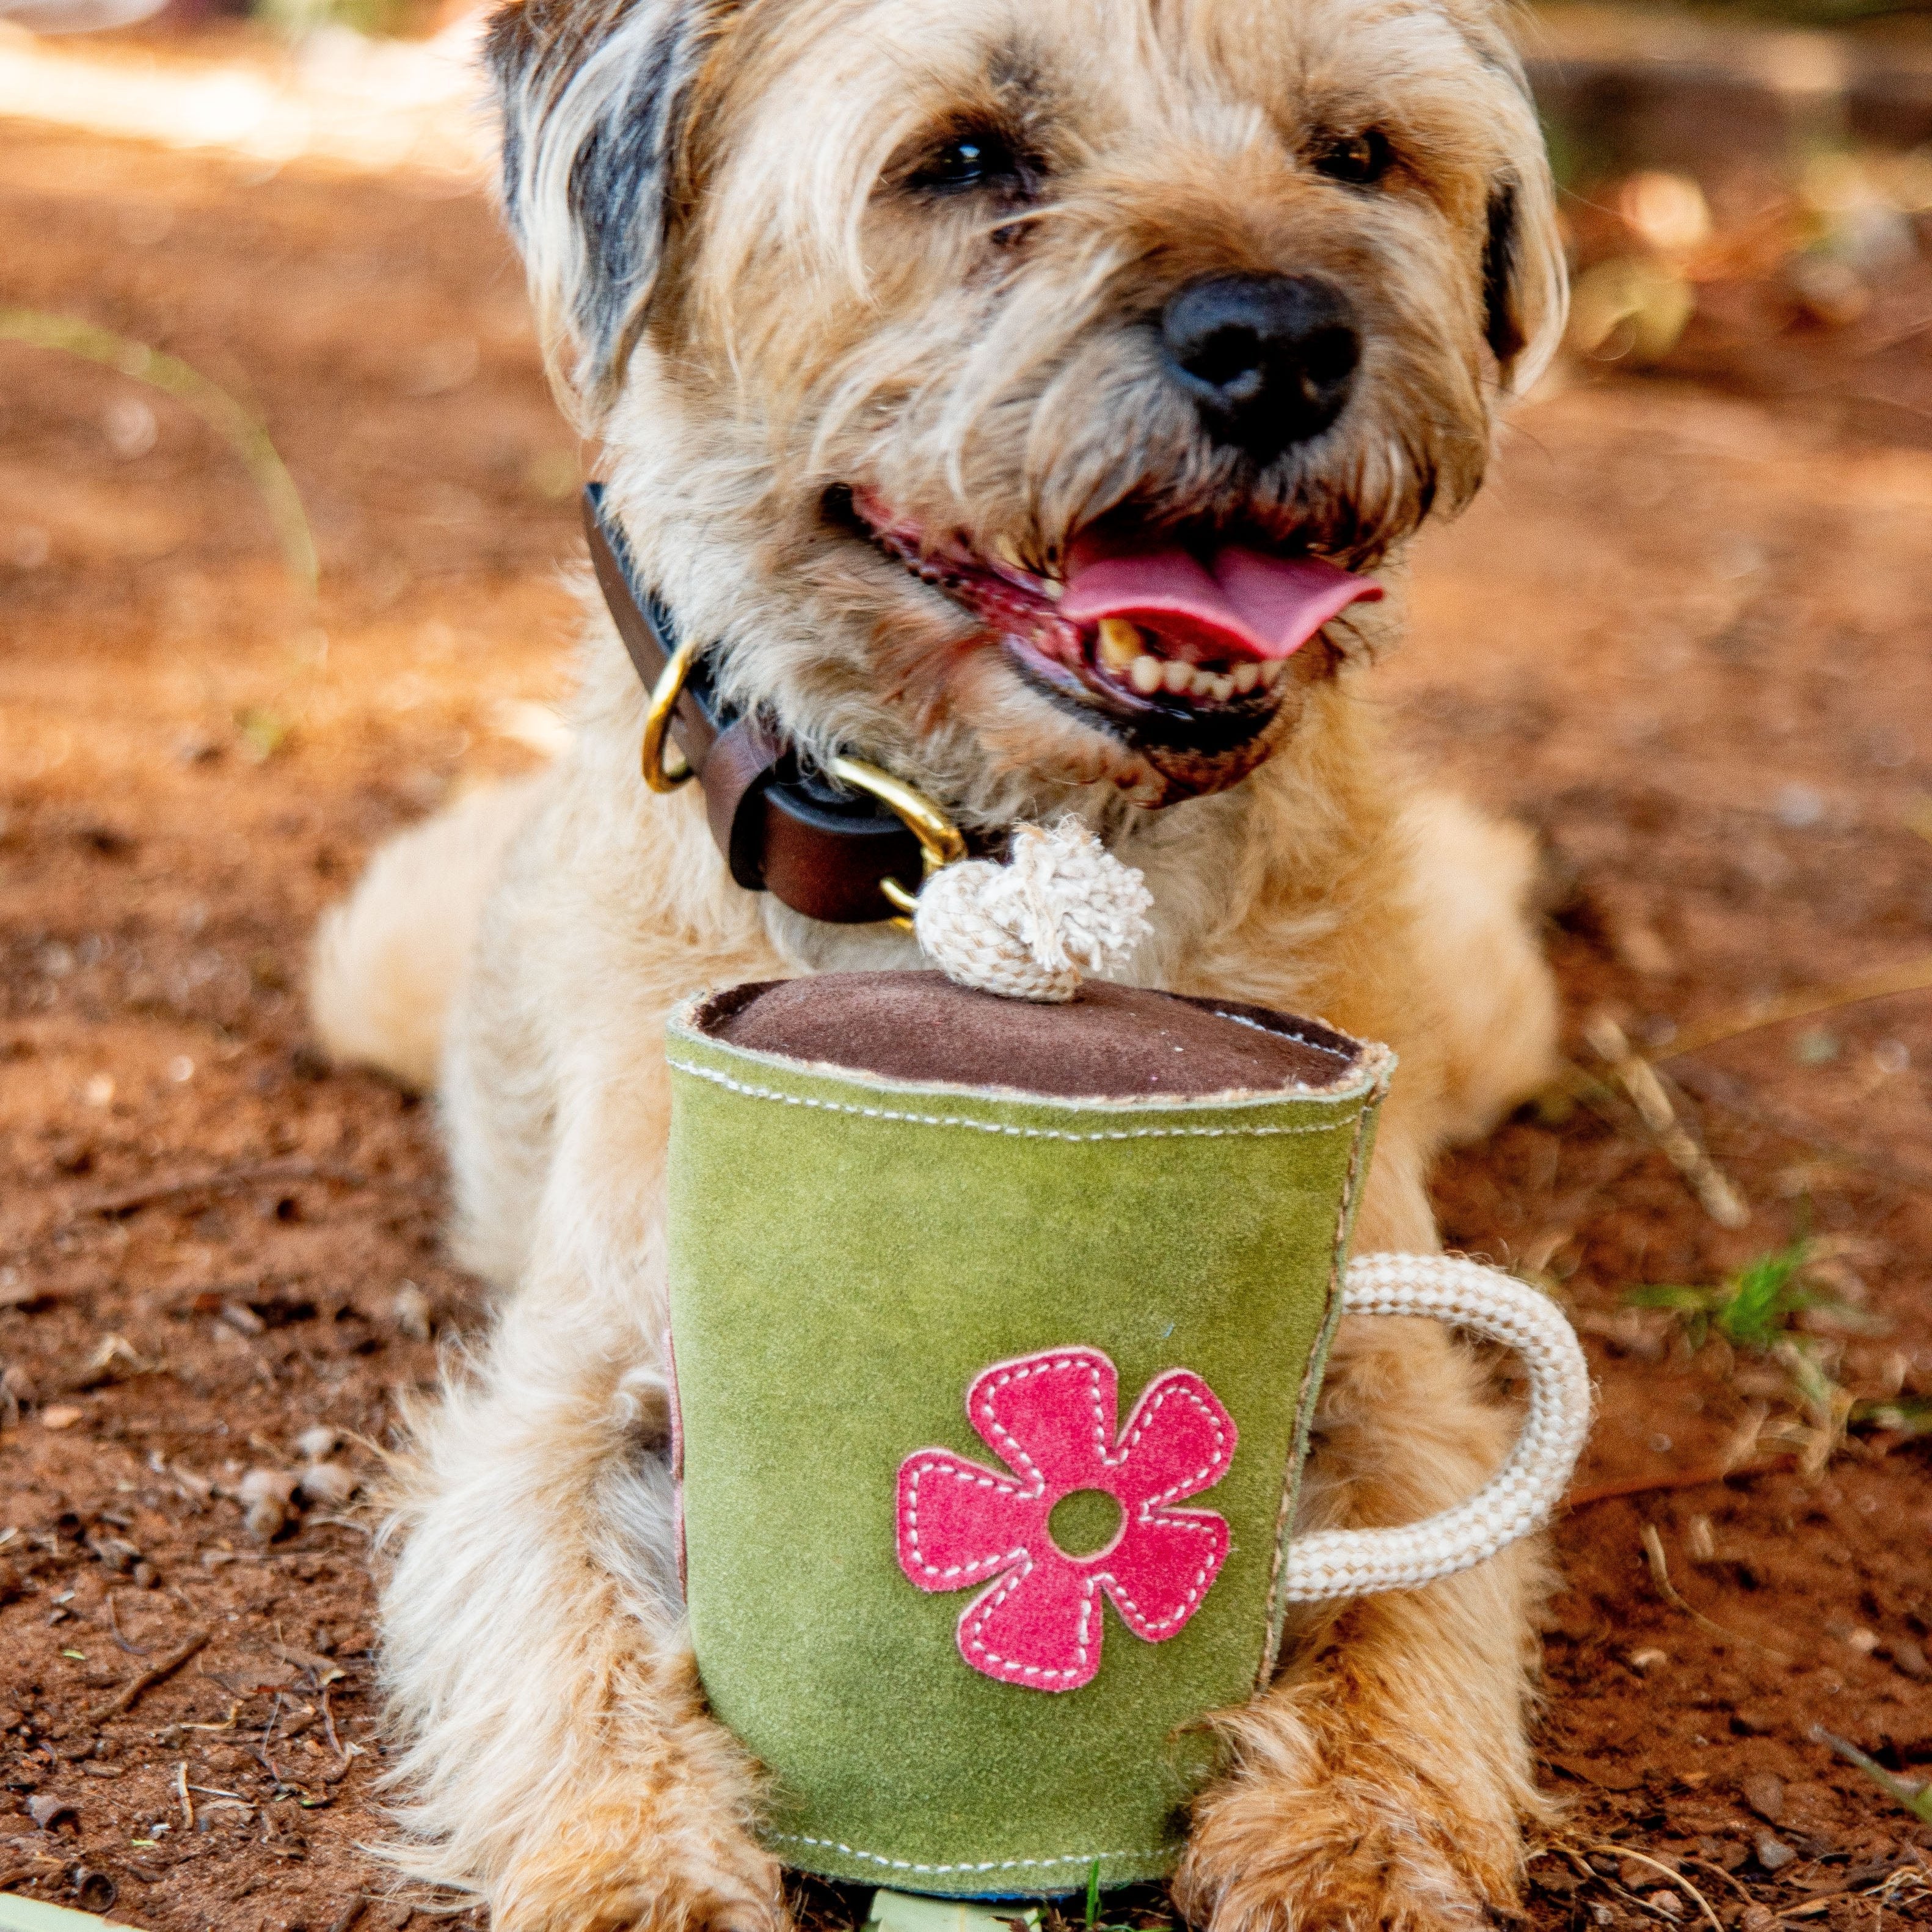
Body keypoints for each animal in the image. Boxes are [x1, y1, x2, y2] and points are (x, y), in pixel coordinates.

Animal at [313, 4, 1569, 1932]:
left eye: (1355, 154)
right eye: (967, 158)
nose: (1278, 337)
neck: (1007, 845)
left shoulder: (1392, 1367)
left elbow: (1411, 1599)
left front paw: (1359, 1840)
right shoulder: (575, 1378)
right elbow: (566, 1640)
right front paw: (638, 1870)